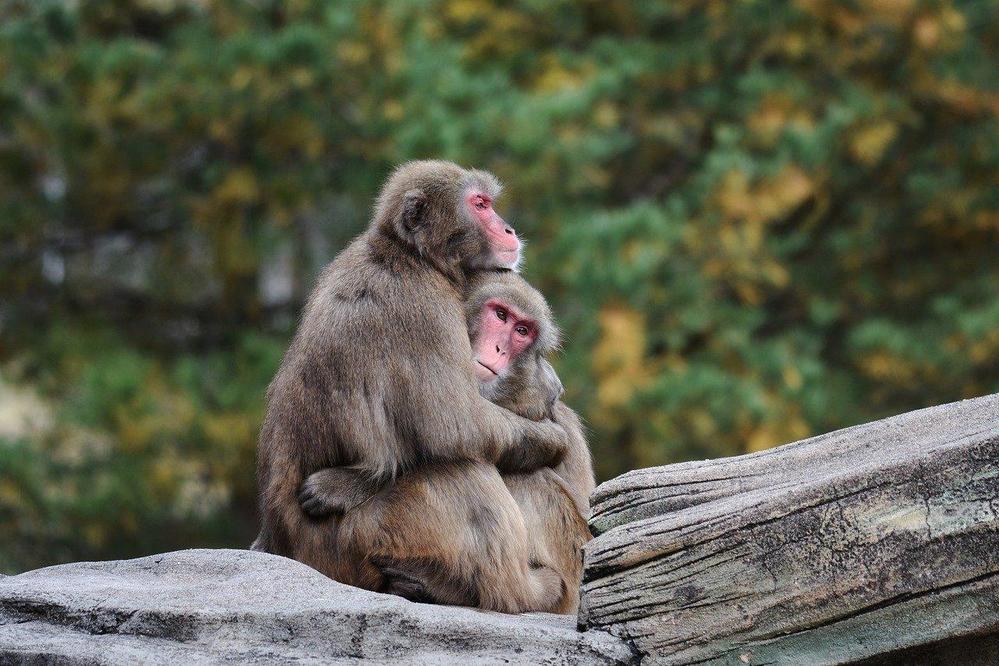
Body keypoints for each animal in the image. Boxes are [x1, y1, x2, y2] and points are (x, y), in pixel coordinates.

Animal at [250, 160, 572, 592]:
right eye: (480, 204)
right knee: (462, 468)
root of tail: (284, 542)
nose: (507, 229)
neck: (410, 255)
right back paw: (521, 592)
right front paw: (553, 435)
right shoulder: (426, 308)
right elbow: (456, 427)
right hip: (355, 543)